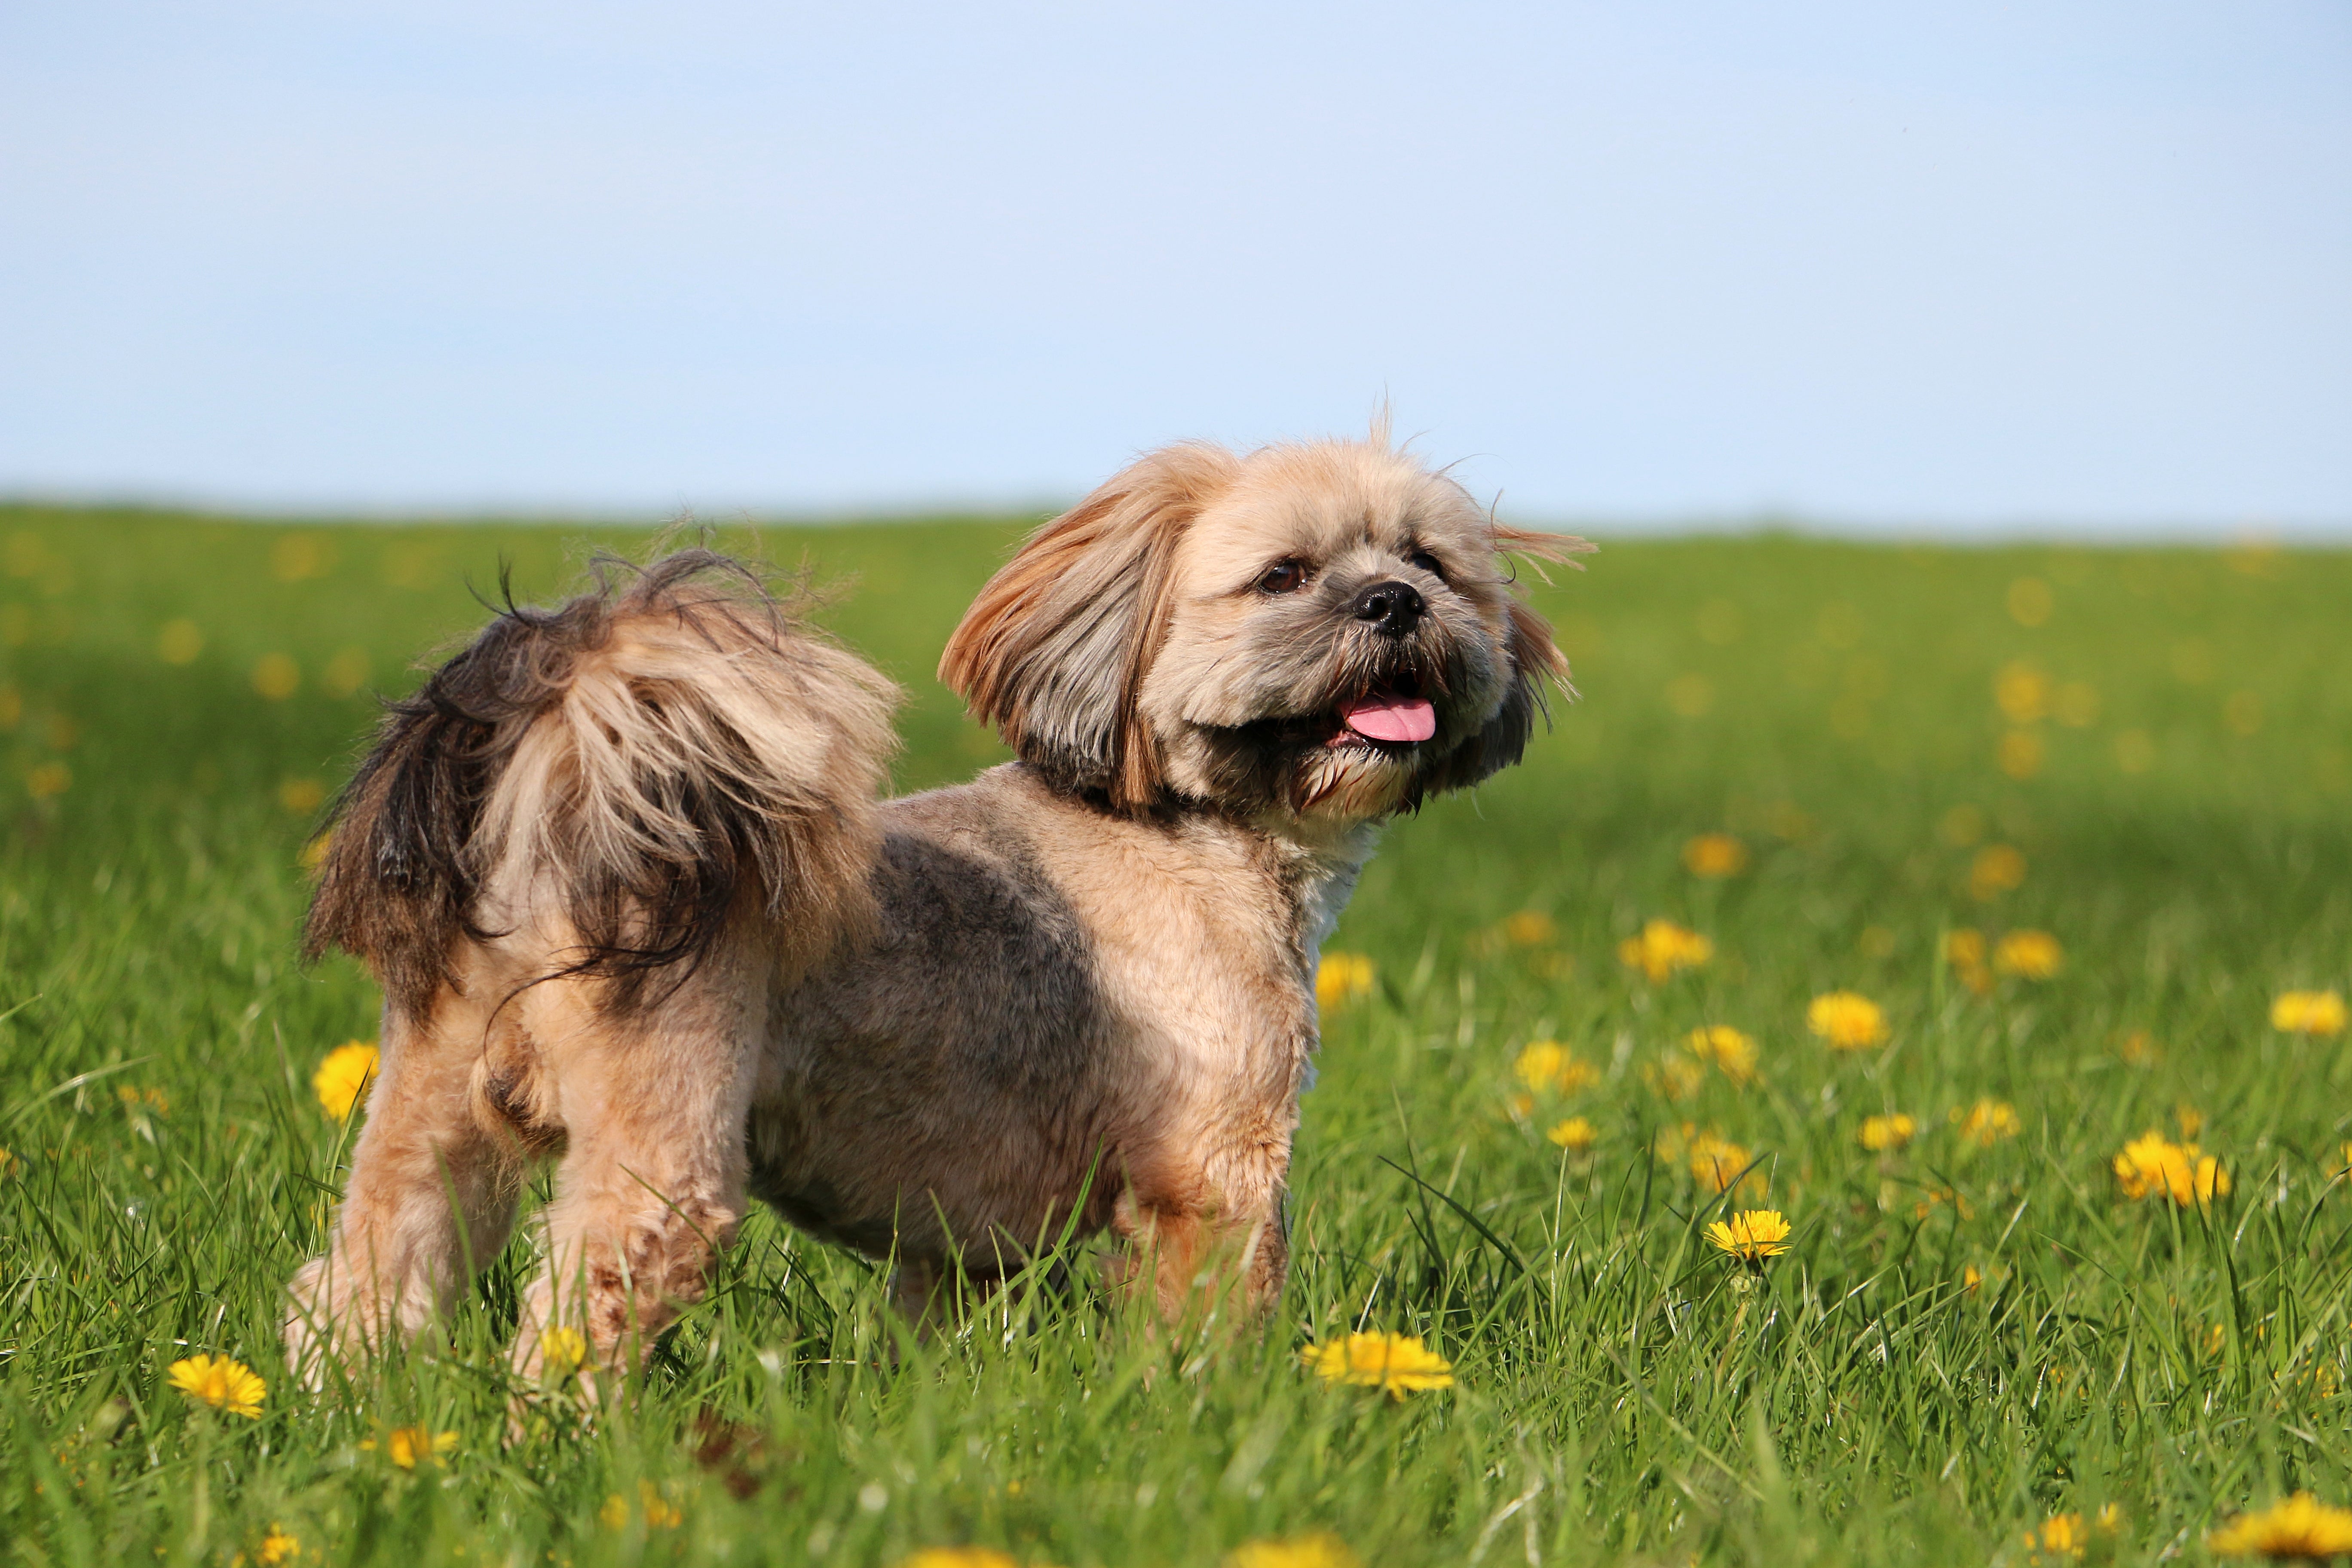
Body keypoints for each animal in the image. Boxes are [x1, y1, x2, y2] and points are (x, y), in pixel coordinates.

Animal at [285, 432, 1590, 1382]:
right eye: (1283, 577)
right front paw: (1212, 1425)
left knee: (360, 1282)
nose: (1392, 605)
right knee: (578, 1312)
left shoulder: (956, 1234)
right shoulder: (1215, 1172)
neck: (1188, 829)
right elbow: (1206, 1330)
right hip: (660, 1152)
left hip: (430, 1120)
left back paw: (336, 1421)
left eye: (1430, 563)